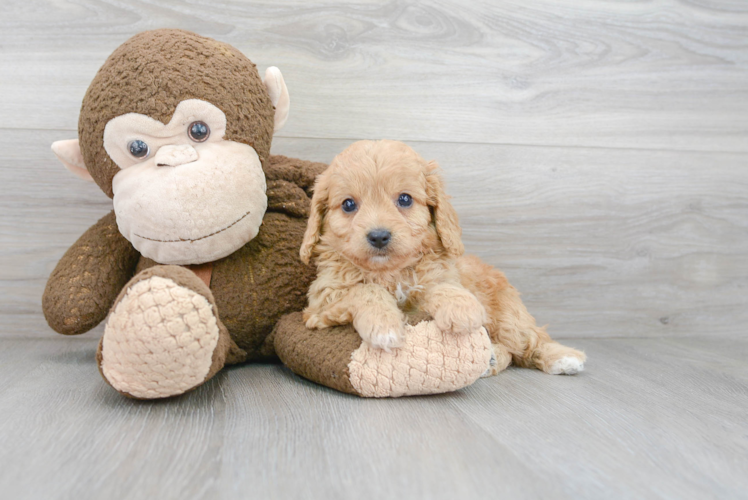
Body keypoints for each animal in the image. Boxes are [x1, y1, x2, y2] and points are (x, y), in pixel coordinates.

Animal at [300, 139, 588, 374]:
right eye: (348, 204)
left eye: (405, 199)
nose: (379, 236)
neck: (390, 272)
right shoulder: (321, 302)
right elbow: (365, 290)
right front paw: (384, 325)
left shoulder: (440, 275)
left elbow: (443, 286)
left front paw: (461, 309)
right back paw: (492, 359)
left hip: (509, 316)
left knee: (529, 340)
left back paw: (563, 357)